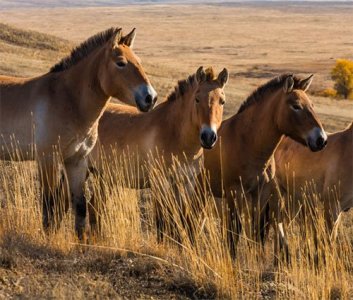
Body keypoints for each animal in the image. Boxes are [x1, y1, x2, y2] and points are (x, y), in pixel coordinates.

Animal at [0, 27, 157, 240]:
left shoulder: (76, 160)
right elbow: (49, 205)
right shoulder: (48, 159)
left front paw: (80, 242)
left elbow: (80, 206)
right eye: (121, 63)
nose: (151, 98)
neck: (67, 99)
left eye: (138, 61)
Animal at [86, 67, 227, 240]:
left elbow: (181, 219)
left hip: (104, 177)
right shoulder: (161, 183)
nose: (208, 137)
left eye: (222, 101)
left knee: (94, 206)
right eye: (197, 99)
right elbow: (162, 222)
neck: (174, 132)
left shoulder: (187, 183)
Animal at [202, 74, 326, 258]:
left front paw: (257, 258)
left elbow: (257, 231)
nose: (321, 139)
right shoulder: (234, 192)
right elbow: (235, 230)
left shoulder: (261, 193)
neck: (247, 142)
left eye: (312, 105)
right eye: (296, 106)